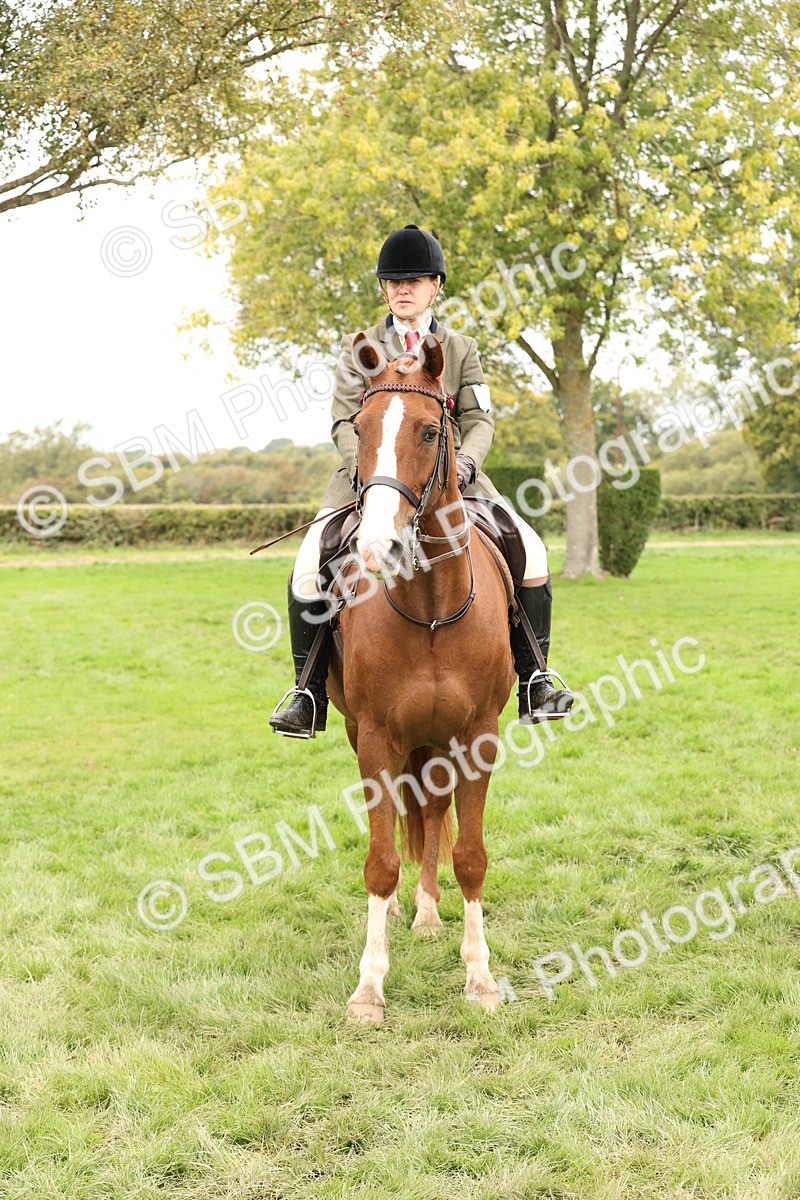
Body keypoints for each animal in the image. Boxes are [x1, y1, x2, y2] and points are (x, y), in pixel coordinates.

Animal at [324, 330, 516, 1024]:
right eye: (360, 427)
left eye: (433, 431)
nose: (377, 547)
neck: (430, 604)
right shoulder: (377, 739)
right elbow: (381, 863)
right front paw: (368, 988)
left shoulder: (479, 735)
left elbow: (471, 856)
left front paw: (480, 978)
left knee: (433, 813)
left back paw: (432, 914)